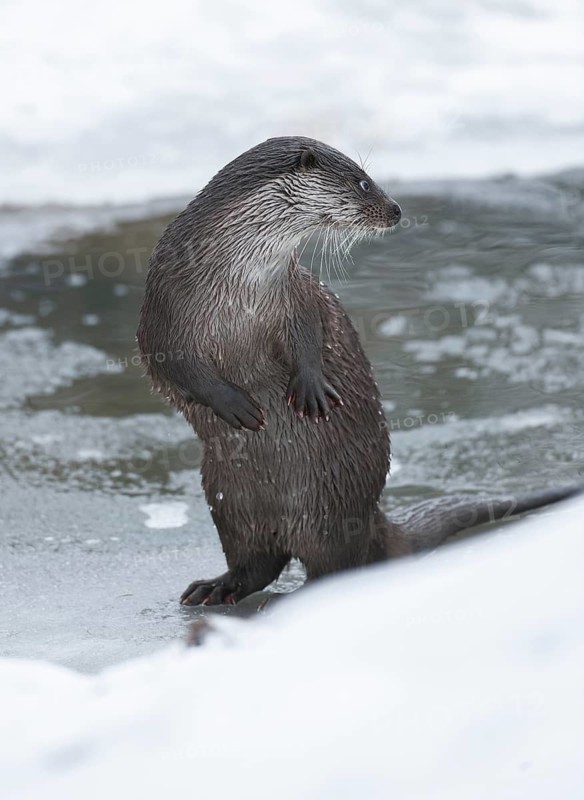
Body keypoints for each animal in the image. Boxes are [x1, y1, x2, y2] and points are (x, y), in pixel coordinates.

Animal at [137, 136, 580, 605]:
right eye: (364, 183)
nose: (397, 209)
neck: (237, 283)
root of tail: (374, 518)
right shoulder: (162, 312)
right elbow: (174, 365)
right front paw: (235, 404)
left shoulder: (295, 295)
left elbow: (310, 335)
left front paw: (311, 386)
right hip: (226, 498)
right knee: (257, 563)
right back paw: (217, 587)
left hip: (330, 502)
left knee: (334, 565)